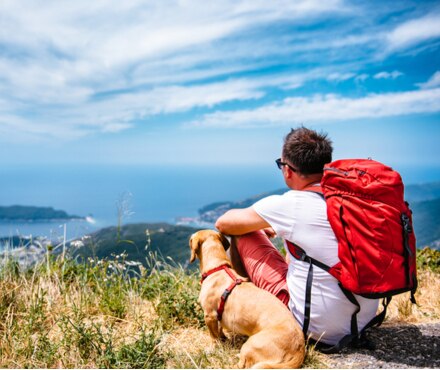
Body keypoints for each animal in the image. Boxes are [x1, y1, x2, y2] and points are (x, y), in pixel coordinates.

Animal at [189, 230, 306, 368]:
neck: (218, 268)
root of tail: (299, 349)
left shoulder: (209, 315)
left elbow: (213, 336)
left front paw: (212, 349)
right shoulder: (217, 316)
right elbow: (219, 330)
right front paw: (223, 339)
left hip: (250, 345)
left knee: (242, 365)